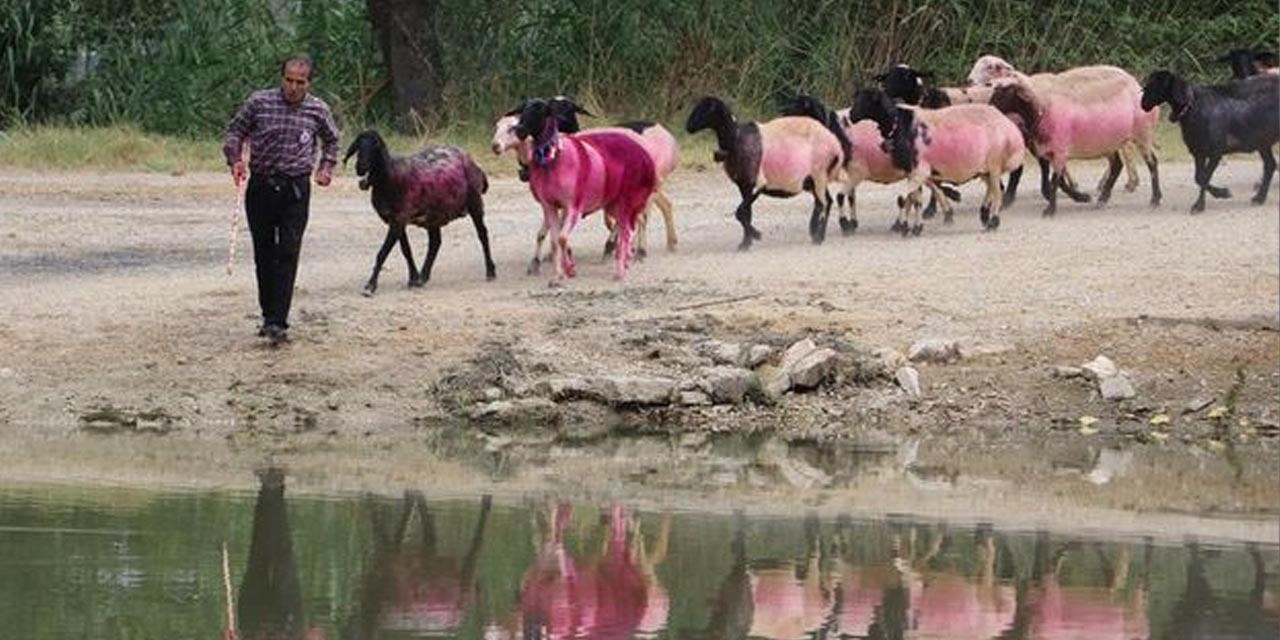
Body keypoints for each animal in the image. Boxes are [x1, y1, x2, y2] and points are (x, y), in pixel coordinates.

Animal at [345, 130, 494, 299]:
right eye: (358, 145)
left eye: (375, 145)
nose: (360, 166)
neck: (390, 177)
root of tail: (473, 162)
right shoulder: (396, 220)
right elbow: (406, 250)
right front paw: (413, 278)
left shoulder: (399, 219)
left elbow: (382, 253)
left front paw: (370, 286)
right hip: (434, 215)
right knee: (435, 243)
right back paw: (423, 276)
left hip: (475, 202)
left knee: (482, 234)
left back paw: (490, 271)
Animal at [1141, 72, 1280, 212]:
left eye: (1154, 84)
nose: (1143, 103)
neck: (1193, 108)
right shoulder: (1198, 152)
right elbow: (1199, 177)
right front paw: (1220, 194)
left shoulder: (1216, 152)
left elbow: (1204, 177)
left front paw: (1200, 205)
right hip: (1263, 142)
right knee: (1270, 165)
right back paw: (1259, 198)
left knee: (1270, 165)